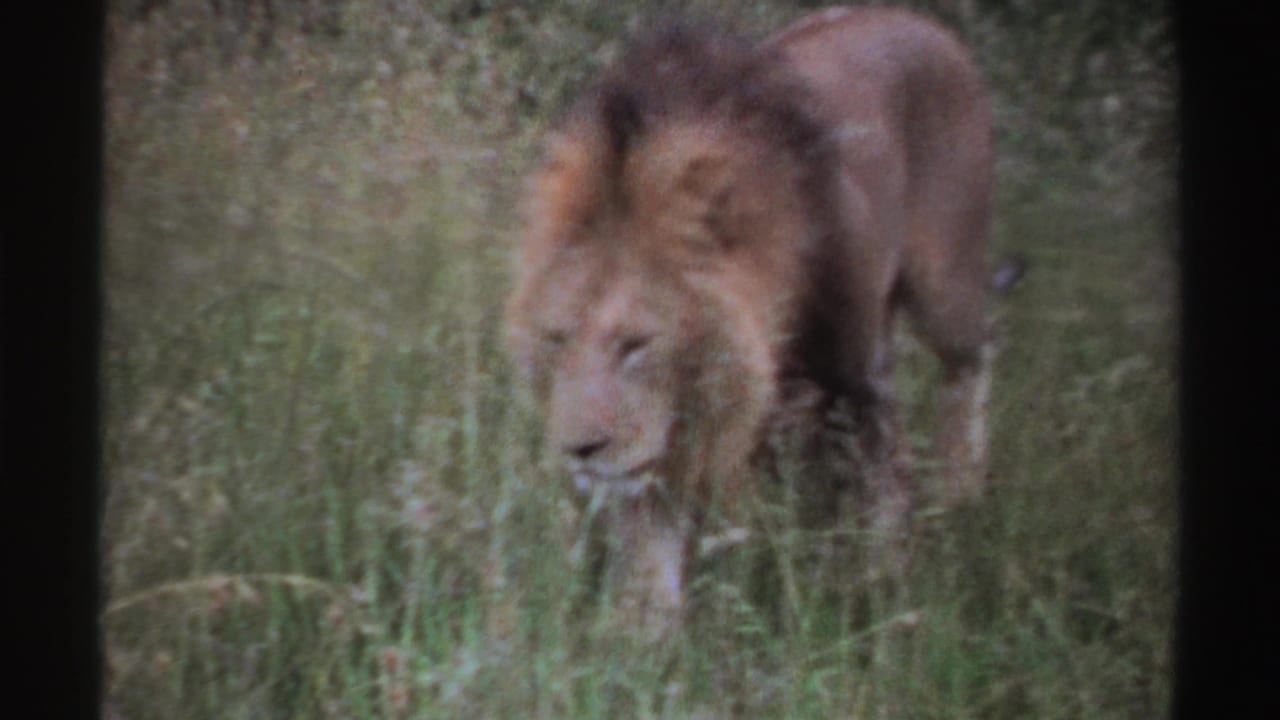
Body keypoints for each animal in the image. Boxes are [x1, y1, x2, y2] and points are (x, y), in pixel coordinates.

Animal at [505, 6, 995, 631]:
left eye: (636, 343)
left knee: (973, 357)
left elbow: (877, 485)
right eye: (557, 339)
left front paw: (879, 590)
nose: (580, 450)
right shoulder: (660, 445)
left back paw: (962, 489)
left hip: (944, 286)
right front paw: (642, 639)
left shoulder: (848, 378)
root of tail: (915, 19)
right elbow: (650, 550)